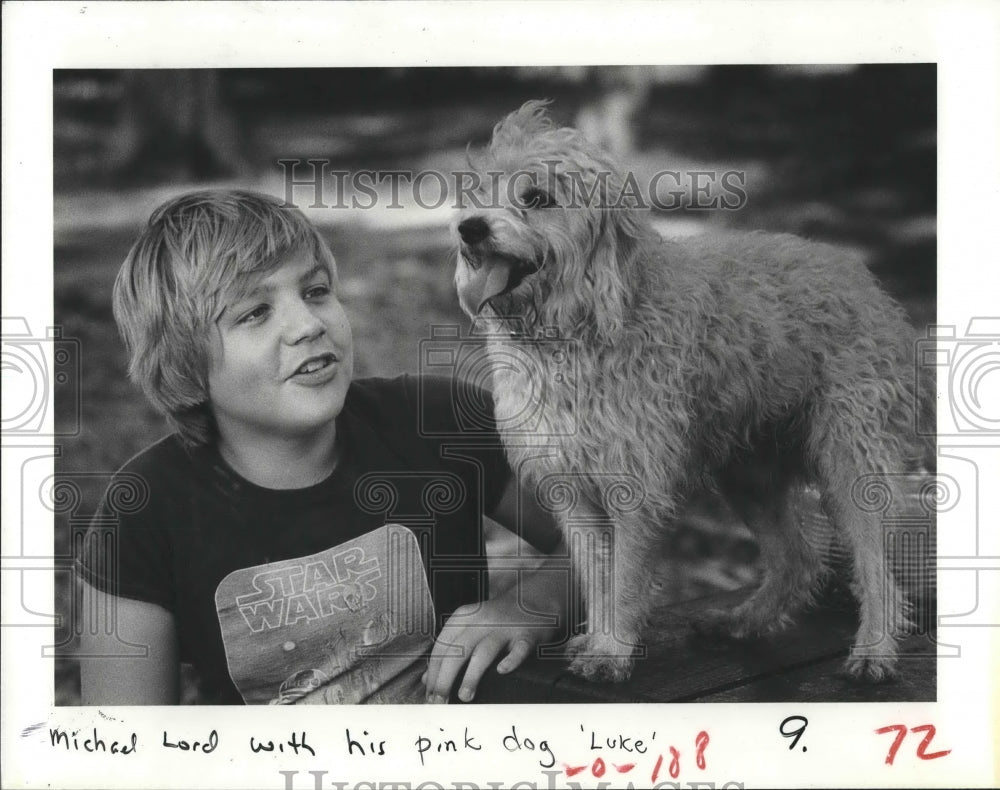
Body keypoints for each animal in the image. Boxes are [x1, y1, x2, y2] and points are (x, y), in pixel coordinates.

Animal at [454, 99, 928, 684]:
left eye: (536, 198)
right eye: (480, 191)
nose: (469, 229)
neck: (577, 325)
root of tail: (865, 278)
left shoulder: (635, 487)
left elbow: (626, 577)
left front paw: (612, 650)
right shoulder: (572, 488)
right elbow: (595, 575)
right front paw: (601, 639)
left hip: (850, 459)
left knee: (876, 565)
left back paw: (875, 650)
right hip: (749, 474)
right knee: (797, 557)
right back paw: (745, 619)